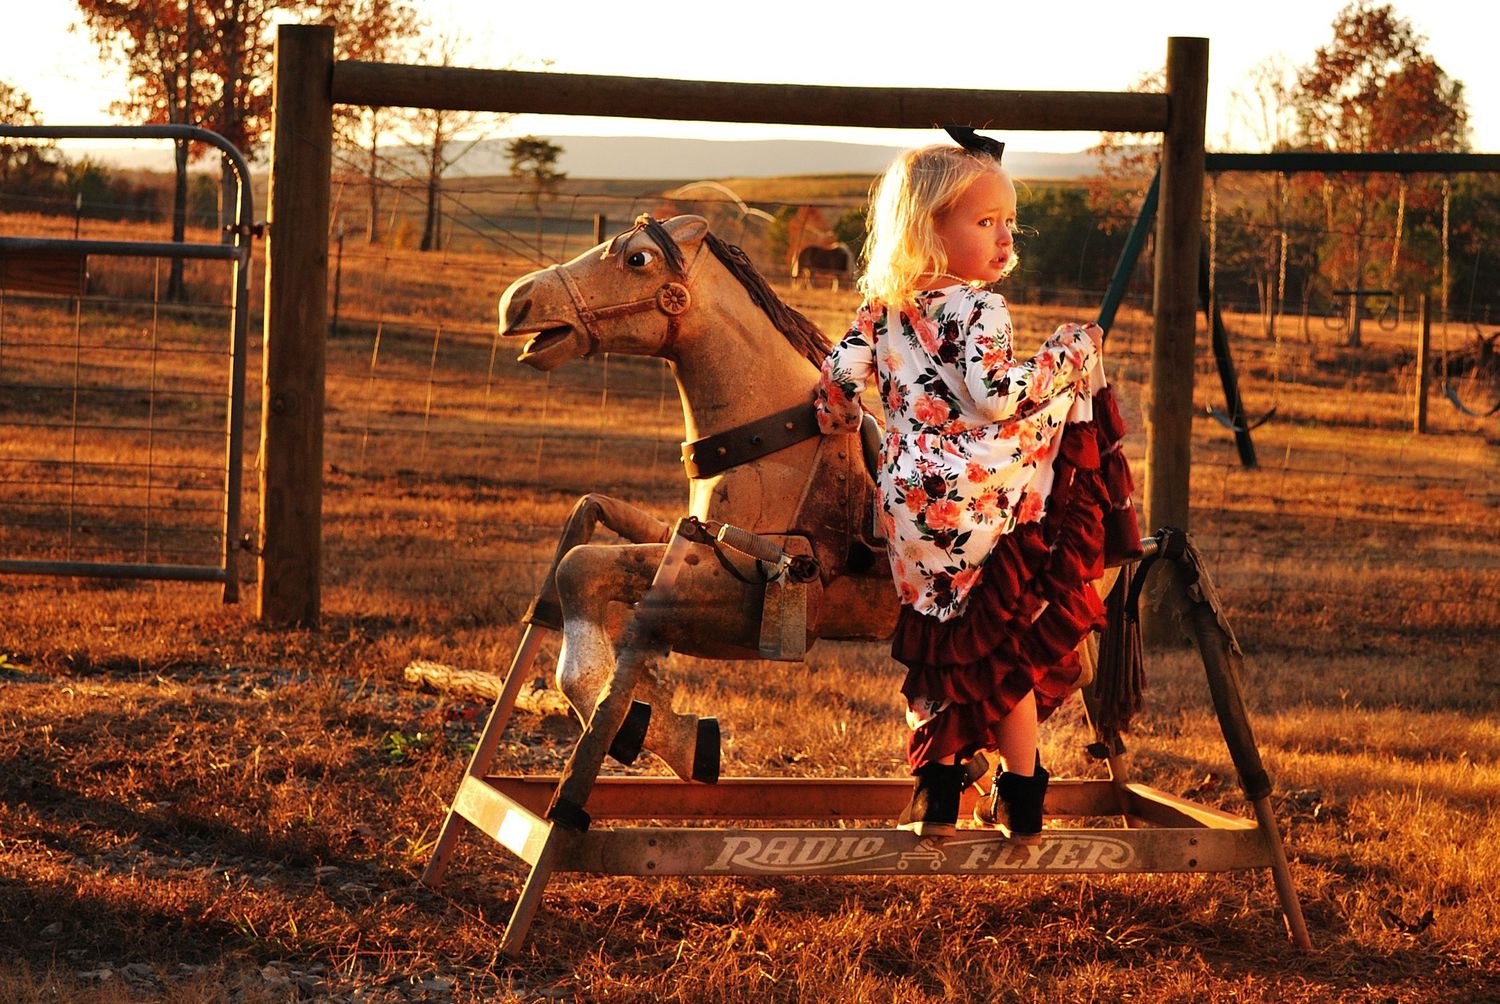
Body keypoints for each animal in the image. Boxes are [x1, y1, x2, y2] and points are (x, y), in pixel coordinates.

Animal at [497, 214, 897, 784]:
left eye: (637, 258)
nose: (518, 300)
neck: (772, 441)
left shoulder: (743, 598)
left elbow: (580, 568)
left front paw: (644, 727)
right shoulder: (685, 547)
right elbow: (584, 571)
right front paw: (665, 726)